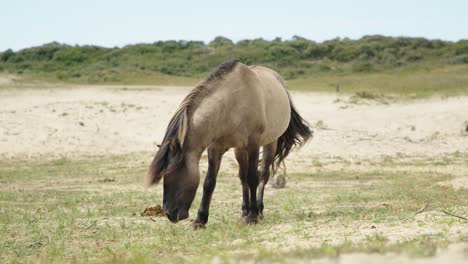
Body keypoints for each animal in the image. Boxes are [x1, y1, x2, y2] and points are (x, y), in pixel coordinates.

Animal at [148, 59, 312, 227]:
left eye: (169, 173)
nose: (169, 213)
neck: (232, 105)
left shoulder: (253, 145)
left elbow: (253, 178)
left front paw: (253, 217)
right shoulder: (215, 148)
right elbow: (209, 182)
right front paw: (200, 220)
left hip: (270, 143)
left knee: (263, 175)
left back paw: (258, 210)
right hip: (240, 150)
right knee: (242, 177)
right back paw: (245, 210)